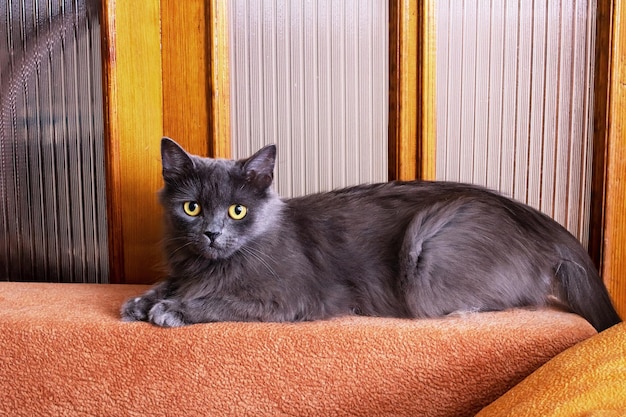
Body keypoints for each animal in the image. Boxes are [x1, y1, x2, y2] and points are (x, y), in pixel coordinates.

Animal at [120, 138, 620, 330]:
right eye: (192, 207)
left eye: (237, 210)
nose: (211, 233)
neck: (208, 265)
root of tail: (544, 222)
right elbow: (170, 283)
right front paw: (141, 301)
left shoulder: (287, 297)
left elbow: (220, 301)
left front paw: (171, 310)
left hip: (428, 247)